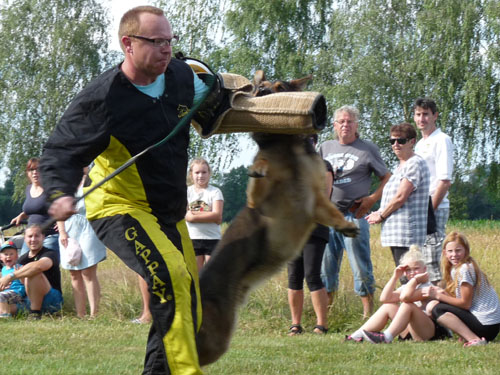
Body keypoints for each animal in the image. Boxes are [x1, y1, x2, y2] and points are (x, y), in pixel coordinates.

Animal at [195, 71, 360, 368]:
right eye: (258, 87)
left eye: (279, 87)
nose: (261, 92)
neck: (285, 144)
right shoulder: (257, 201)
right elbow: (260, 172)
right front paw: (259, 168)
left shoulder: (317, 199)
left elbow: (333, 214)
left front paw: (346, 225)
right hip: (214, 339)